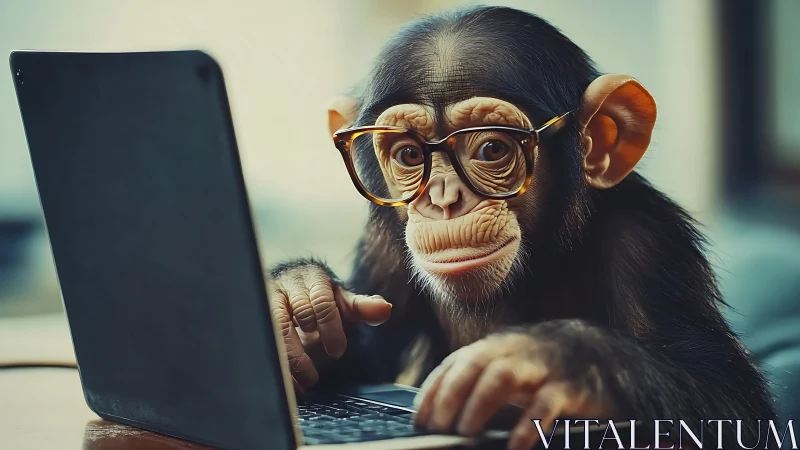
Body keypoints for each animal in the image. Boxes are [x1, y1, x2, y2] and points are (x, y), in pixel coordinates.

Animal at [268, 6, 776, 450]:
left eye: (492, 149)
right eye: (410, 154)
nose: (444, 199)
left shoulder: (649, 242)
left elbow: (728, 399)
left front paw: (551, 360)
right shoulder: (385, 249)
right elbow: (372, 353)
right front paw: (298, 299)